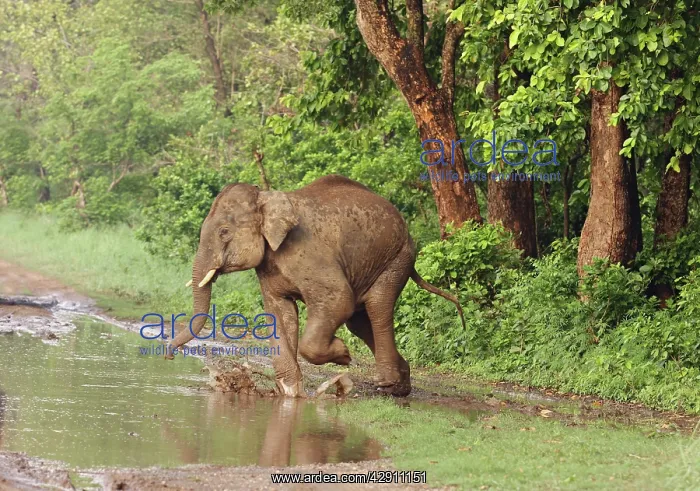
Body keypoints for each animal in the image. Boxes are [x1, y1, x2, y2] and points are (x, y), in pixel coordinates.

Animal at [166, 174, 464, 397]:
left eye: (224, 232)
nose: (169, 356)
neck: (266, 198)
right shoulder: (269, 266)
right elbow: (280, 312)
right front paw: (290, 393)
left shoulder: (308, 254)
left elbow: (338, 300)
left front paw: (343, 356)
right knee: (359, 322)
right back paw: (401, 386)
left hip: (396, 258)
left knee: (377, 307)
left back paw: (387, 384)